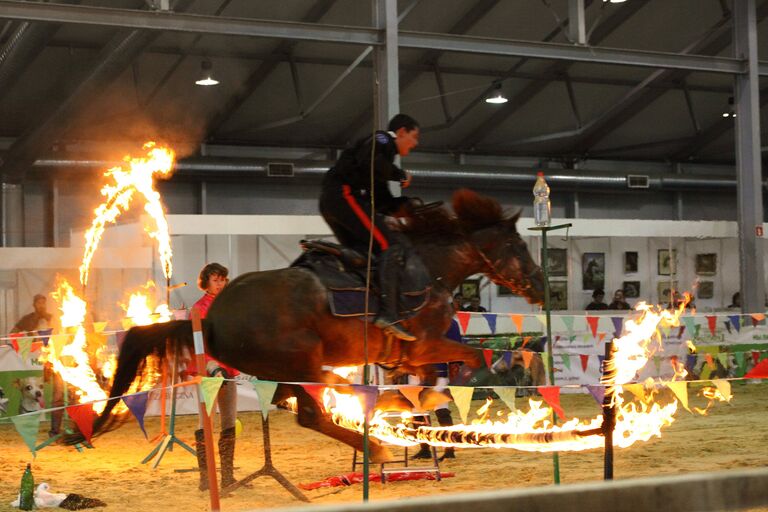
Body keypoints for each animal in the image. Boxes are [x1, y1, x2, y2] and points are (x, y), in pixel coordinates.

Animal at [75, 188, 544, 460]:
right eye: (518, 245)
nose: (541, 286)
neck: (430, 266)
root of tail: (211, 318)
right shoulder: (428, 345)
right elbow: (472, 360)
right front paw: (418, 403)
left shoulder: (413, 357)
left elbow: (427, 381)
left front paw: (406, 404)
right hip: (299, 361)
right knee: (308, 414)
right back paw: (373, 448)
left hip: (284, 370)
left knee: (299, 402)